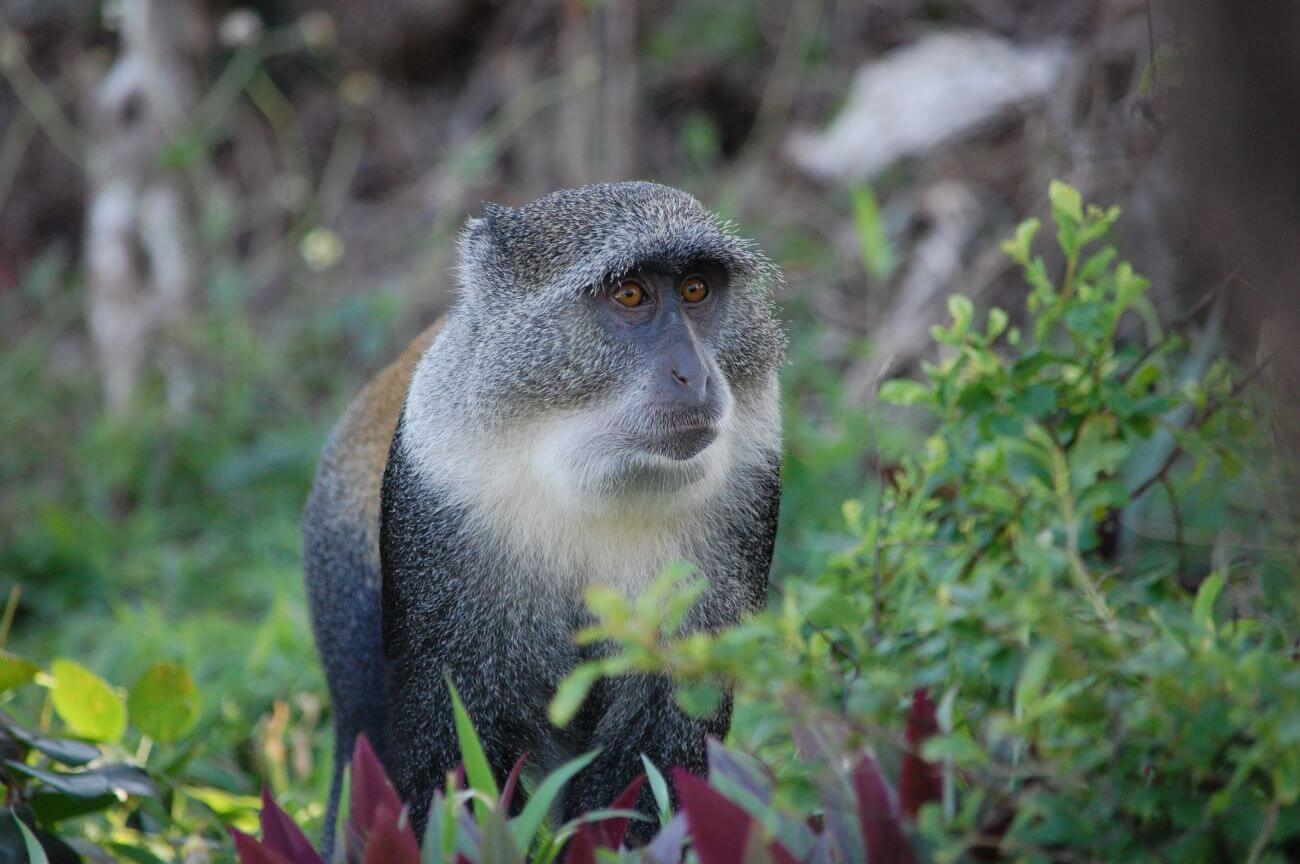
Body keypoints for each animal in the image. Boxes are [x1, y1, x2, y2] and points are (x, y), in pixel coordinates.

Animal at [304, 177, 785, 847]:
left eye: (696, 289)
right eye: (630, 293)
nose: (694, 374)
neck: (590, 472)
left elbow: (659, 748)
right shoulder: (439, 485)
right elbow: (447, 745)